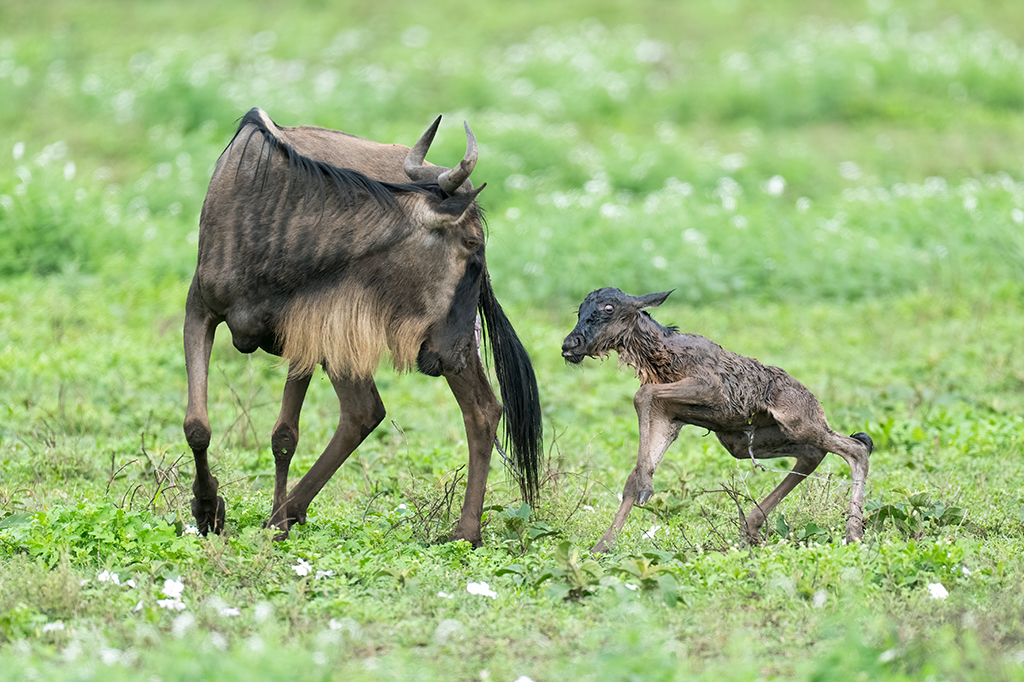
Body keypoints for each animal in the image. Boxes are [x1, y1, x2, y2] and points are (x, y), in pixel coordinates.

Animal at [183, 108, 542, 546]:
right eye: (473, 242)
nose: (456, 351)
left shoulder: (308, 332)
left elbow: (284, 436)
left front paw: (268, 523)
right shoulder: (200, 310)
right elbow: (198, 425)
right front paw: (207, 509)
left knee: (474, 410)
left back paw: (463, 533)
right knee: (372, 410)